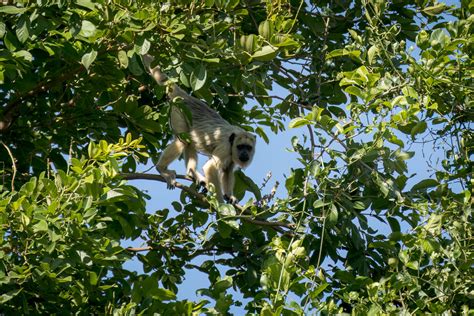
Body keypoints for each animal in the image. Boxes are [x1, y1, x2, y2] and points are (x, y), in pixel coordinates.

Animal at [143, 53, 258, 202]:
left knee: (190, 141)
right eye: (240, 147)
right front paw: (220, 203)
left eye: (248, 148)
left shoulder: (232, 156)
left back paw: (191, 173)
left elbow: (227, 170)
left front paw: (229, 195)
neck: (233, 141)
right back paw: (162, 169)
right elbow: (210, 168)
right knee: (183, 141)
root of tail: (186, 97)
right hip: (178, 111)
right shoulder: (226, 148)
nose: (244, 154)